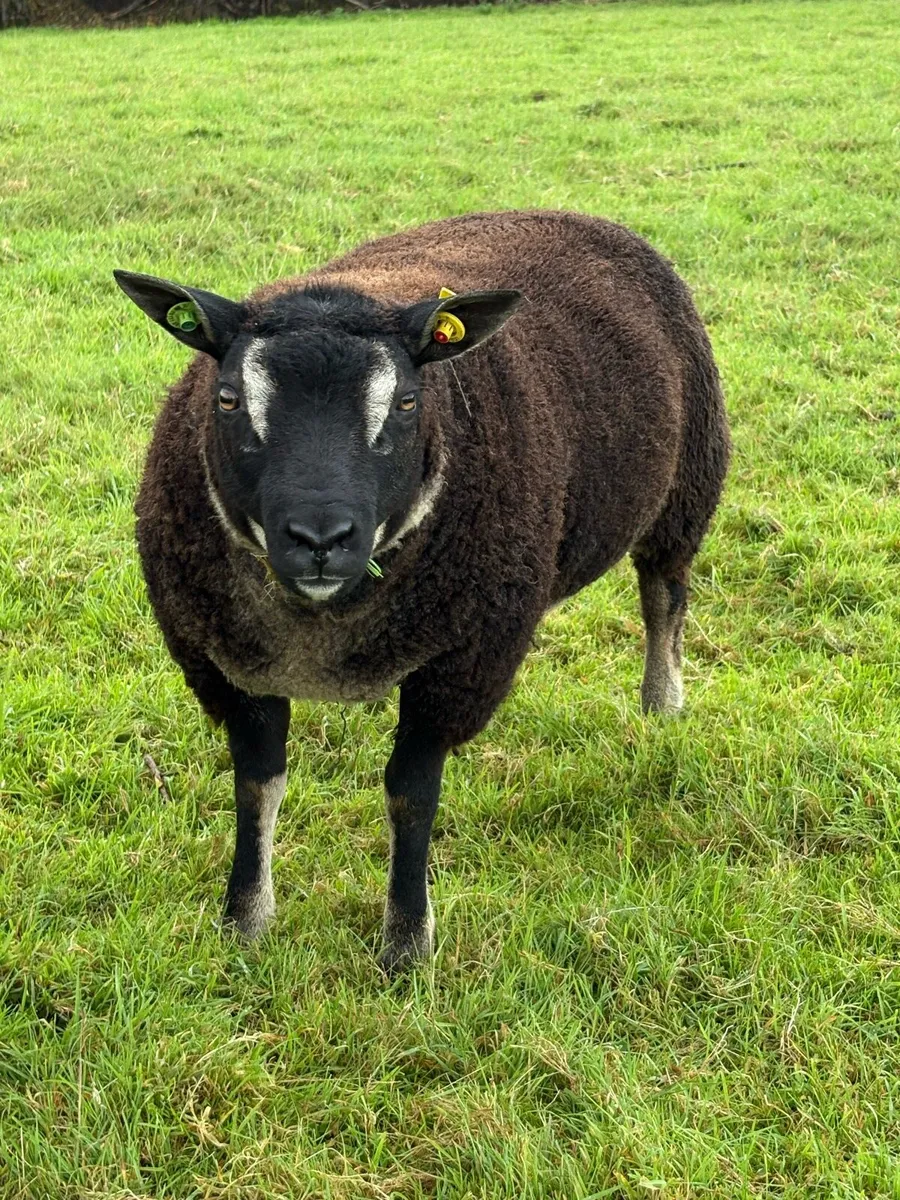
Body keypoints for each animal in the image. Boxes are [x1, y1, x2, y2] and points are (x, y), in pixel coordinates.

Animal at [114, 209, 729, 972]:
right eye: (228, 399)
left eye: (406, 402)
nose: (321, 537)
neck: (317, 622)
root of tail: (569, 213)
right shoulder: (226, 664)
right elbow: (256, 785)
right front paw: (245, 922)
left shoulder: (460, 662)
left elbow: (411, 795)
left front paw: (406, 943)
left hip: (686, 489)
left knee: (663, 599)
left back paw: (661, 704)